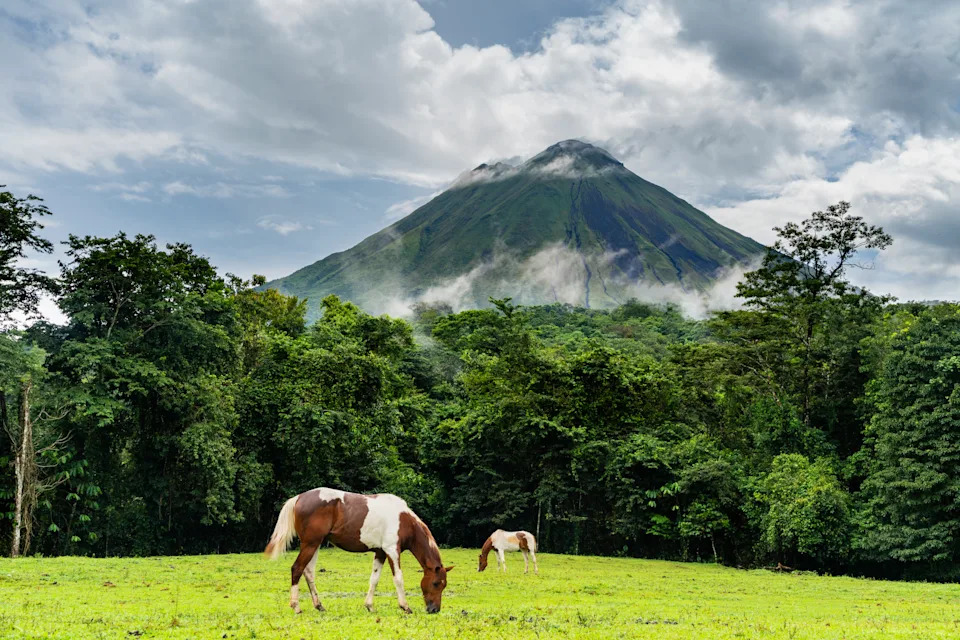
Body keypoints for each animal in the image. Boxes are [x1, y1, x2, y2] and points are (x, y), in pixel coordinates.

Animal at [264, 488, 453, 614]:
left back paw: (319, 605)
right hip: (310, 544)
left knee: (308, 572)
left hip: (314, 545)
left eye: (443, 585)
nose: (434, 610)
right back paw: (296, 606)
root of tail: (299, 497)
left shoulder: (380, 552)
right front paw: (405, 606)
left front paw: (369, 606)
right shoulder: (392, 550)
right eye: (436, 583)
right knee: (297, 569)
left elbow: (374, 579)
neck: (404, 520)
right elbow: (398, 578)